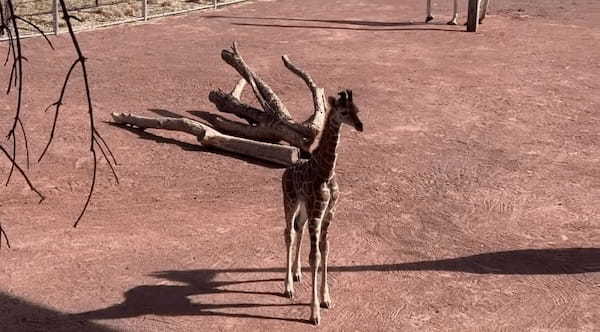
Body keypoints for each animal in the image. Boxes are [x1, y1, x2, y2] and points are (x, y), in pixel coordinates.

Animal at [280, 88, 364, 324]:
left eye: (357, 110)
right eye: (344, 112)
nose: (360, 126)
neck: (326, 171)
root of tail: (286, 171)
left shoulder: (328, 212)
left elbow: (325, 249)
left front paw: (326, 298)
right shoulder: (317, 212)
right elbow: (314, 256)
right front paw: (314, 312)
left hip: (304, 207)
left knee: (298, 228)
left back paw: (297, 274)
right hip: (290, 201)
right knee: (288, 233)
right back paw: (288, 287)